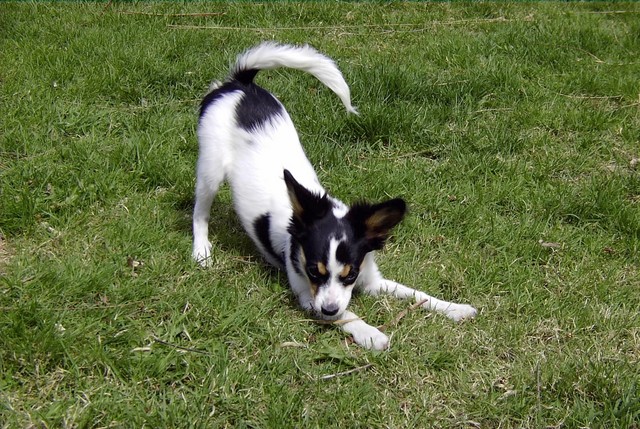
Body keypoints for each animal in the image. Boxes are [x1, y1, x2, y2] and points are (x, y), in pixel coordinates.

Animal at [192, 42, 477, 350]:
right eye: (313, 272)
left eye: (349, 275)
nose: (328, 309)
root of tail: (239, 84)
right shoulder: (308, 296)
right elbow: (348, 314)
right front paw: (371, 333)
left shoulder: (370, 279)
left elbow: (416, 294)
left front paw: (454, 308)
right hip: (210, 168)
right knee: (200, 212)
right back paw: (201, 251)